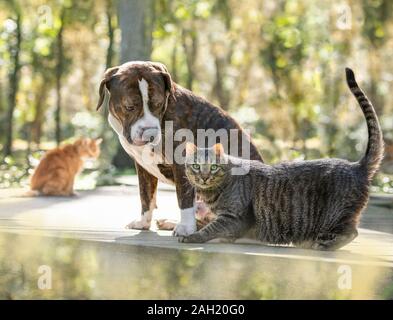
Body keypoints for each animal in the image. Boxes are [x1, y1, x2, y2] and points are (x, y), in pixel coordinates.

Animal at [181, 69, 382, 250]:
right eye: (196, 166)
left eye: (213, 167)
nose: (204, 177)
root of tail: (357, 165)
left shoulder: (234, 218)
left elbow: (210, 229)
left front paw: (192, 236)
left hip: (339, 215)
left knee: (352, 232)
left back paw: (324, 244)